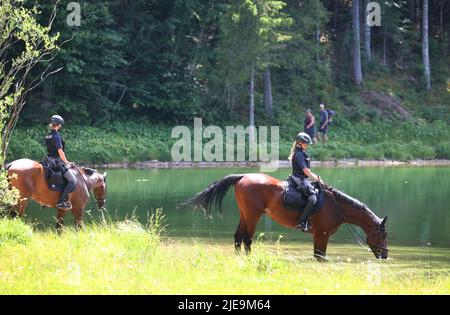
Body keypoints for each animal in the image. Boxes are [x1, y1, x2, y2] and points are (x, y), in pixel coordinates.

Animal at [181, 174, 388, 260]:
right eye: (382, 235)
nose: (385, 255)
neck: (336, 206)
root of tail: (242, 176)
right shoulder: (322, 234)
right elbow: (320, 256)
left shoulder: (320, 235)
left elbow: (318, 256)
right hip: (253, 216)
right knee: (247, 238)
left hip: (245, 215)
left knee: (238, 236)